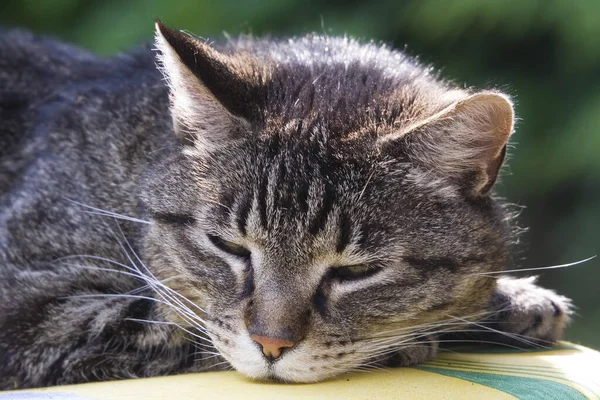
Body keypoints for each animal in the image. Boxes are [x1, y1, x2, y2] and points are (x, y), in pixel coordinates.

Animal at [0, 21, 572, 388]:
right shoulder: (30, 308)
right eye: (228, 246)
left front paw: (509, 299)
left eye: (356, 271)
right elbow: (172, 321)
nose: (272, 345)